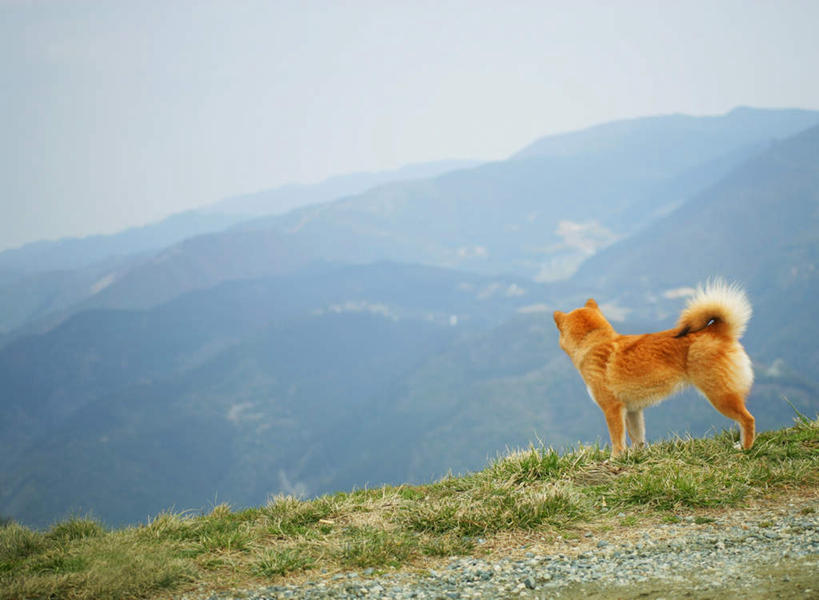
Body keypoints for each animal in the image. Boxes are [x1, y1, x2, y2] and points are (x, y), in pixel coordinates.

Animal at [556, 280, 760, 454]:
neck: (593, 342)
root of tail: (717, 330)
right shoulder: (632, 411)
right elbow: (637, 438)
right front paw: (636, 457)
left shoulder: (612, 409)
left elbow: (617, 441)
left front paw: (614, 458)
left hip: (720, 396)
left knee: (748, 419)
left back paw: (745, 448)